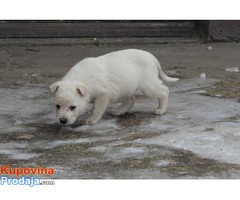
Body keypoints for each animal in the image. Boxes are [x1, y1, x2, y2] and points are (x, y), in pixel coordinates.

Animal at [49, 49, 178, 126]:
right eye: (57, 106)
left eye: (73, 107)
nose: (62, 121)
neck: (81, 80)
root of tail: (152, 57)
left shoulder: (103, 95)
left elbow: (96, 108)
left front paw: (92, 119)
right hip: (127, 86)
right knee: (131, 100)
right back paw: (118, 111)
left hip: (148, 85)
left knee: (164, 91)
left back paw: (161, 109)